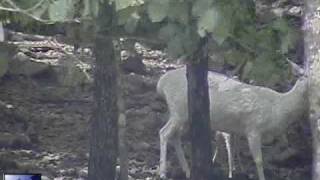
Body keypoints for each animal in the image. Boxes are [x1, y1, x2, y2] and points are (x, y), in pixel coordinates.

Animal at [157, 66, 308, 180]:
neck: (277, 109)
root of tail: (161, 83)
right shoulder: (253, 128)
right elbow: (258, 160)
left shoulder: (239, 129)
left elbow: (235, 147)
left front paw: (236, 171)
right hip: (178, 110)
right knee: (164, 132)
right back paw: (163, 173)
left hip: (184, 116)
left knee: (175, 135)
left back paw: (187, 171)